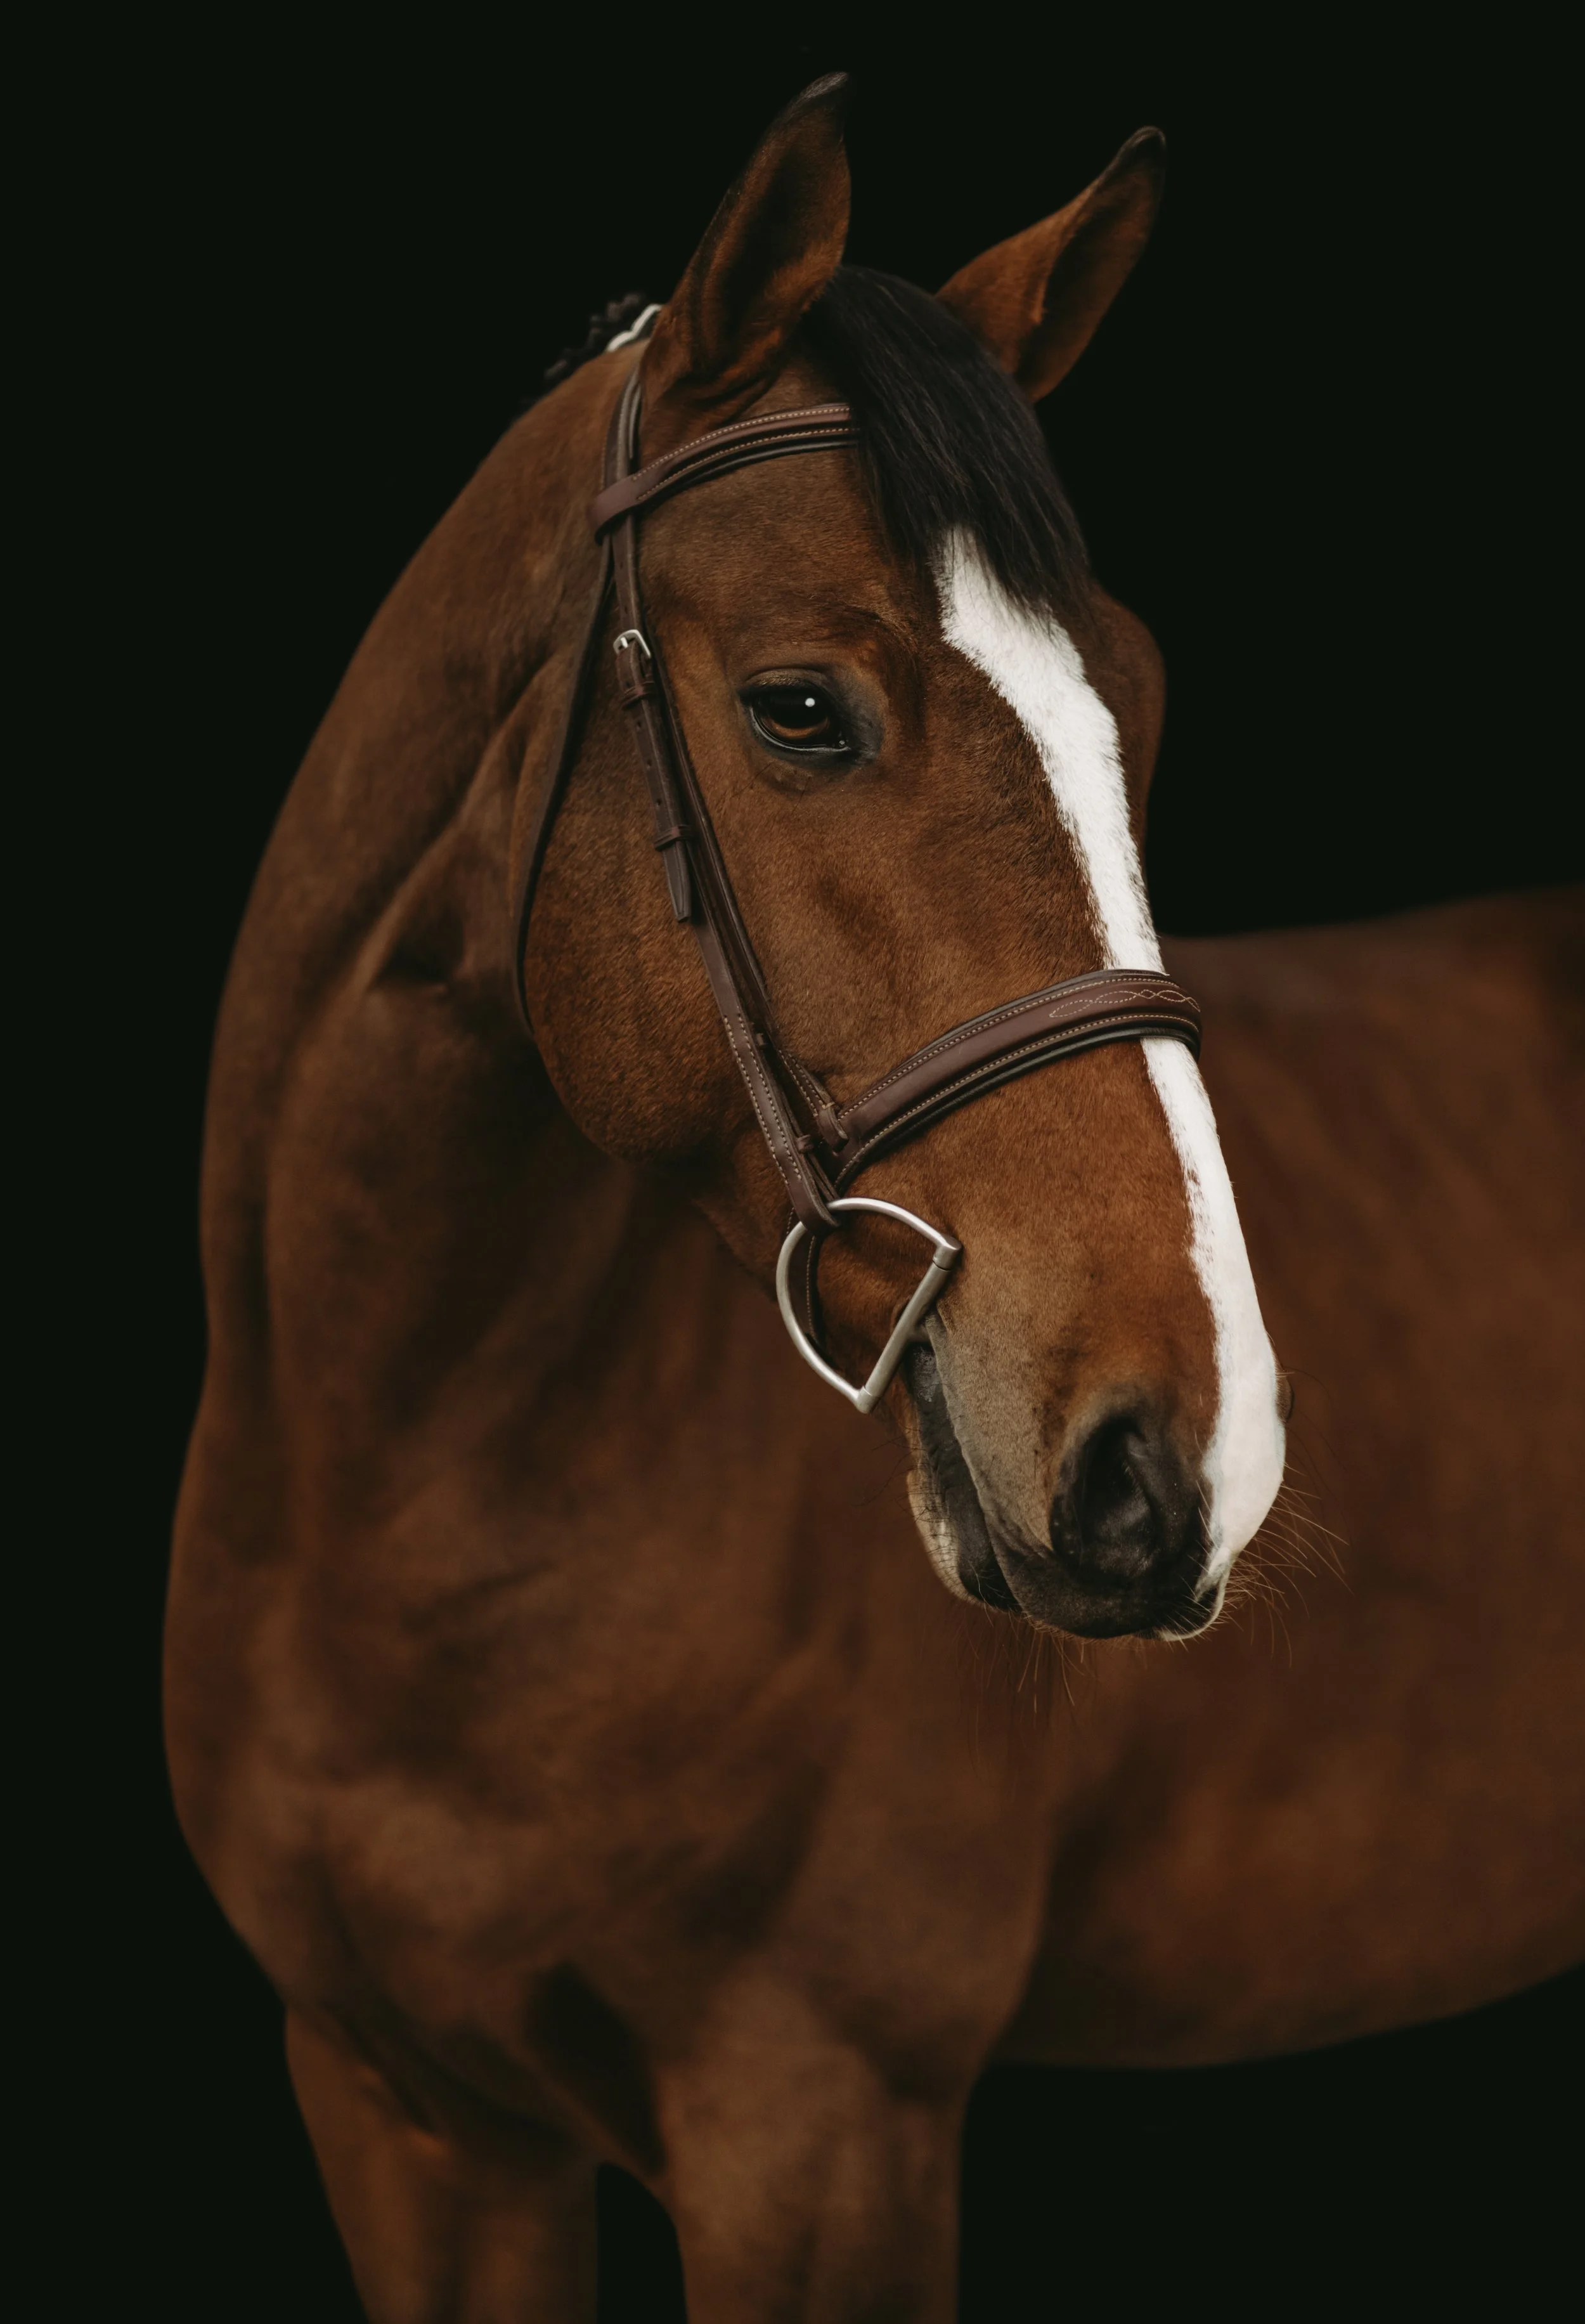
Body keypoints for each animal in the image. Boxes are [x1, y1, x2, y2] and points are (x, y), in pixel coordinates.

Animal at [166, 74, 1585, 2321]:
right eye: (798, 708)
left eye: (1135, 702)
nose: (1181, 1454)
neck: (400, 1482)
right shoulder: (404, 2115)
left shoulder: (819, 2129)